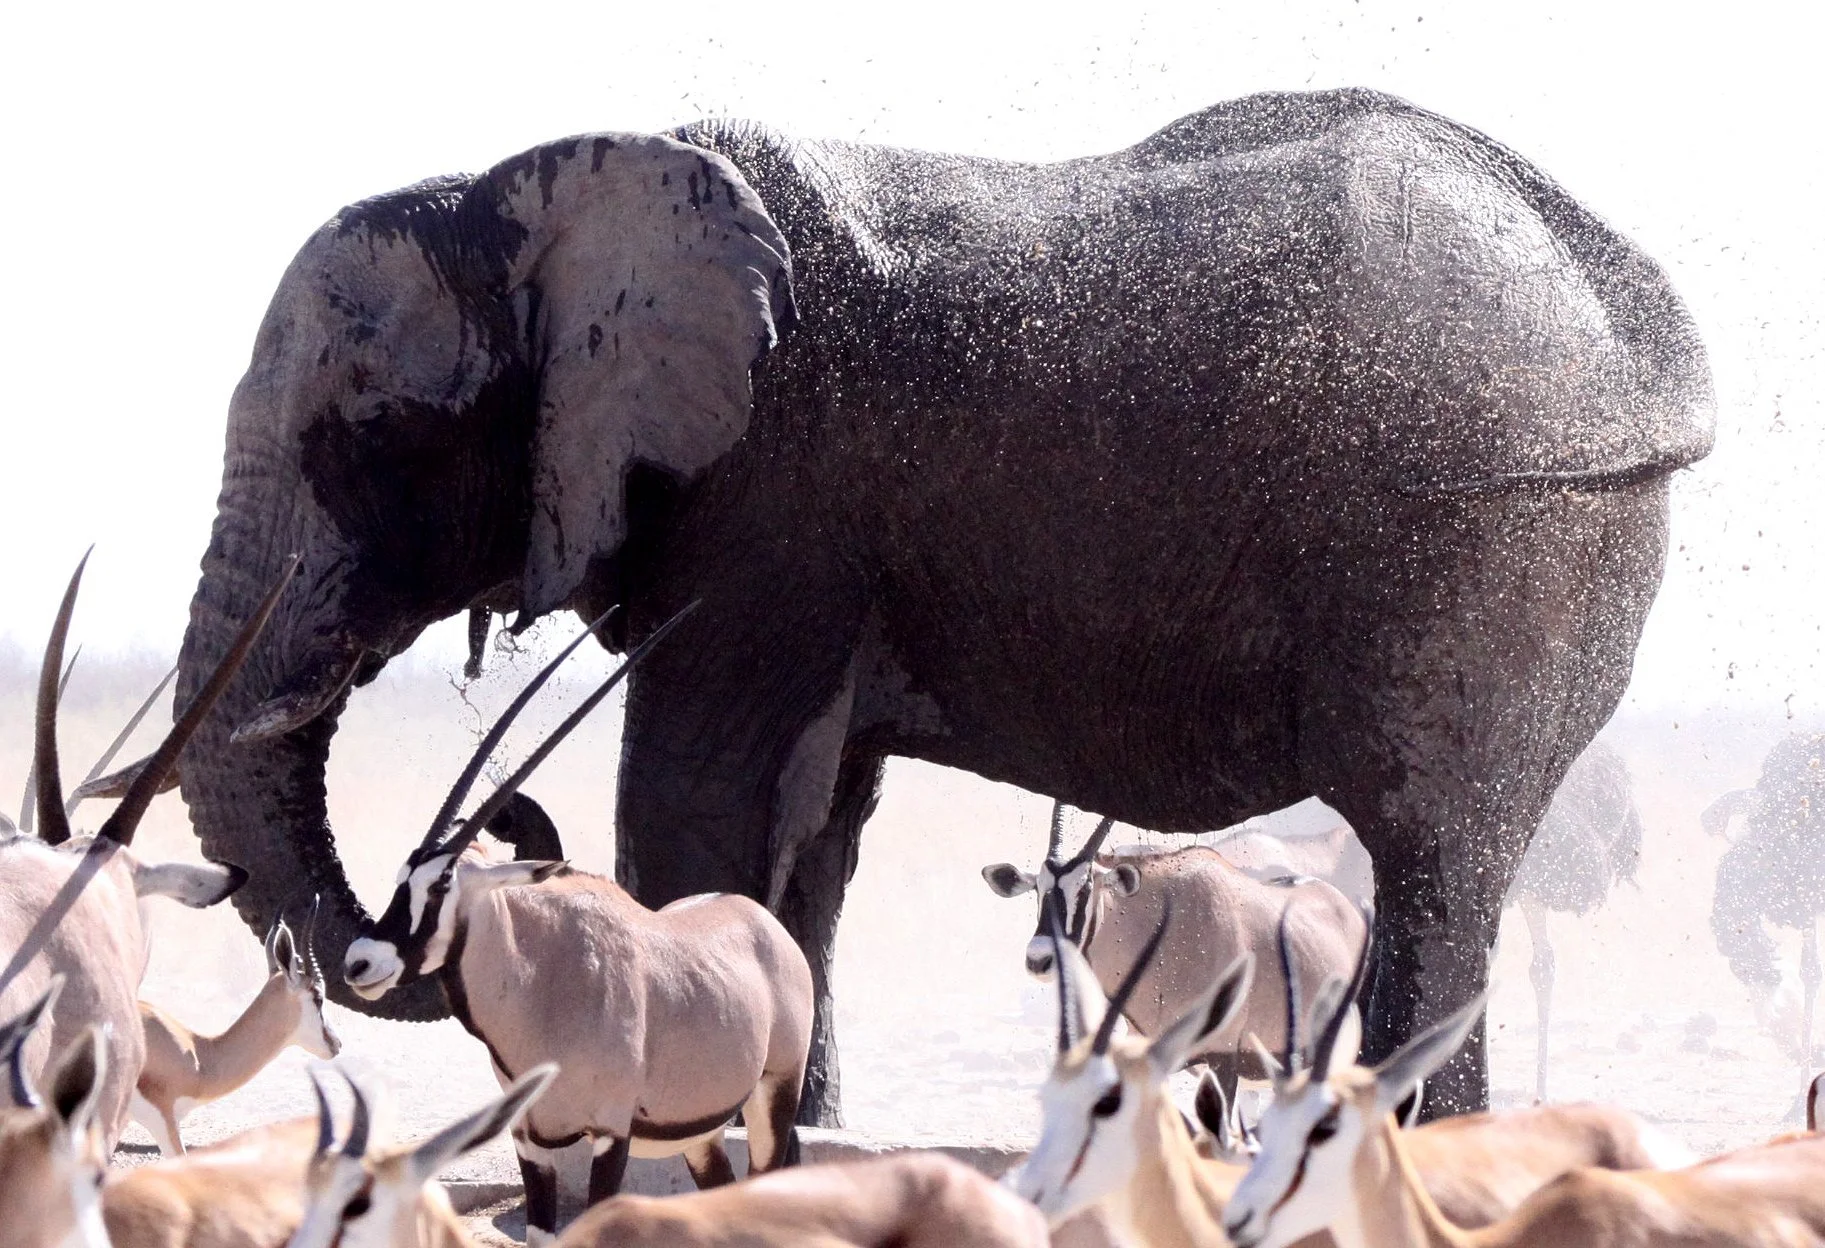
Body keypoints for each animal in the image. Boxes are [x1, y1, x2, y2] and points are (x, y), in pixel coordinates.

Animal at [167, 87, 1712, 1125]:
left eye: (368, 432)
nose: (395, 941)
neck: (535, 186)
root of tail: (1639, 324)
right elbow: (811, 832)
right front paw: (790, 1138)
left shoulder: (778, 482)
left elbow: (699, 799)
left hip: (1498, 537)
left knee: (1432, 849)